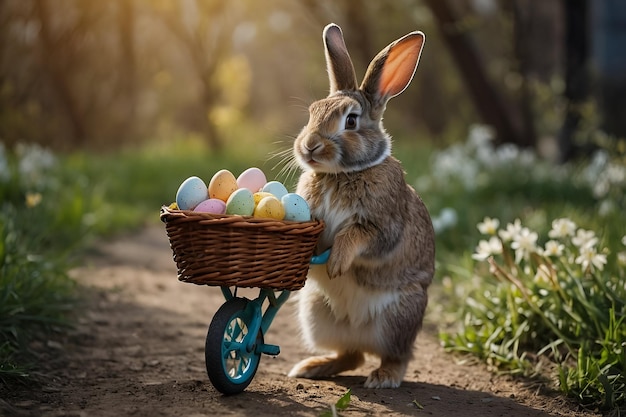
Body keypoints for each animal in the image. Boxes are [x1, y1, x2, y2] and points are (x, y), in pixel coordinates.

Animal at [286, 23, 434, 386]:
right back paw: (311, 367)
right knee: (351, 356)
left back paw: (383, 377)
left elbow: (357, 236)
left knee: (397, 356)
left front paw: (338, 263)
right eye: (312, 113)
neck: (342, 174)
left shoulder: (382, 225)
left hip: (399, 318)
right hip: (316, 313)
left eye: (351, 121)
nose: (310, 146)